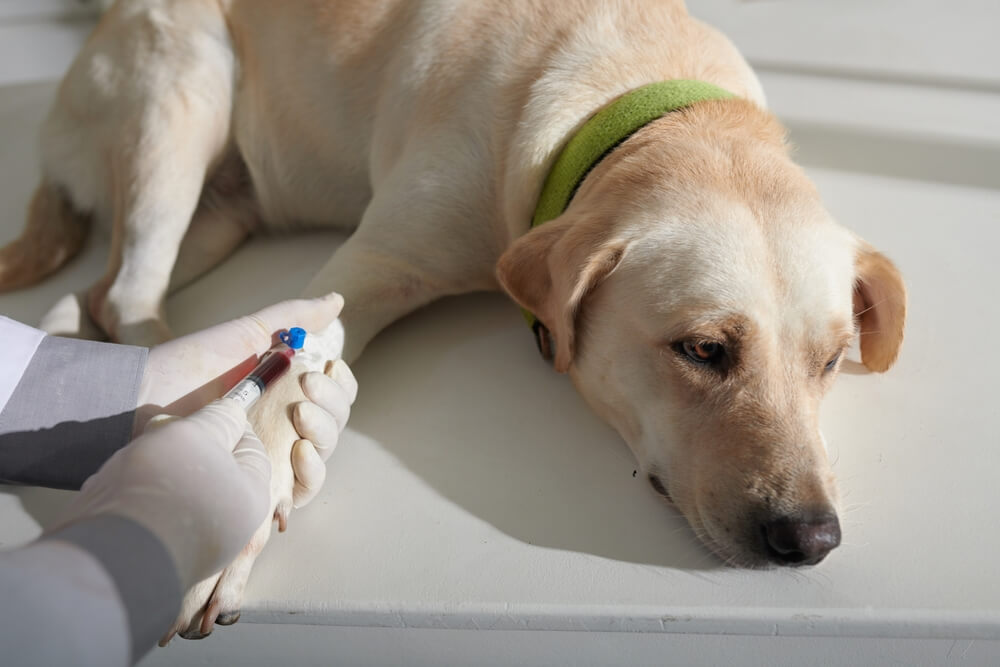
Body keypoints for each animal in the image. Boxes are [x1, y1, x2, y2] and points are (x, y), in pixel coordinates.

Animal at [0, 0, 908, 640]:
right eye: (705, 348)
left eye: (831, 361)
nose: (811, 537)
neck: (625, 92)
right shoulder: (364, 270)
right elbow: (280, 383)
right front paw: (224, 509)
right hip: (184, 93)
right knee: (127, 290)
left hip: (223, 211)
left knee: (95, 291)